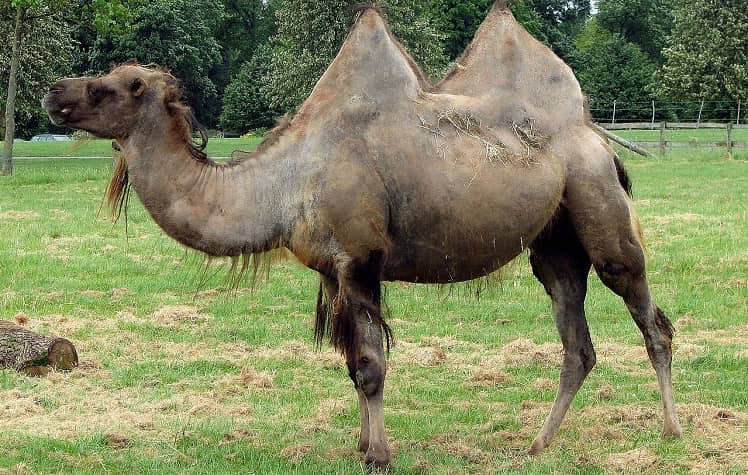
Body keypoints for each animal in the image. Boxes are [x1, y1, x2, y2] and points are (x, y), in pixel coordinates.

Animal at [43, 2, 682, 469]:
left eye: (117, 86)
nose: (54, 92)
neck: (282, 185)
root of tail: (597, 137)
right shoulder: (332, 270)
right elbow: (352, 364)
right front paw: (361, 445)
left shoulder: (359, 259)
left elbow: (371, 366)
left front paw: (380, 455)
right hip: (553, 242)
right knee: (577, 338)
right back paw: (538, 443)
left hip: (599, 203)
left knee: (648, 313)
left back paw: (672, 430)